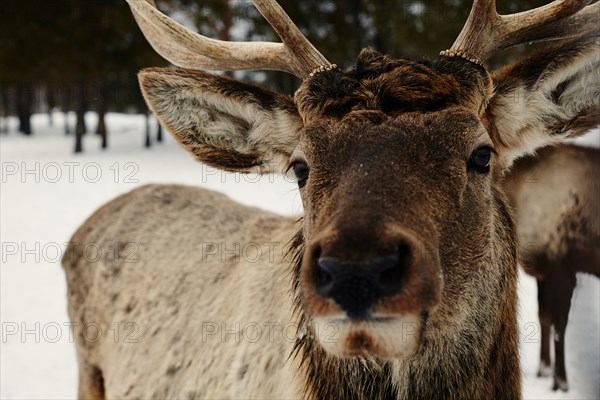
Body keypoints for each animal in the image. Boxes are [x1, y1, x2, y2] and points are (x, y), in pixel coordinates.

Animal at [504, 144, 596, 390]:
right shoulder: (543, 270)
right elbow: (543, 317)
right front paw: (544, 371)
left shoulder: (561, 265)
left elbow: (559, 324)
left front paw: (561, 382)